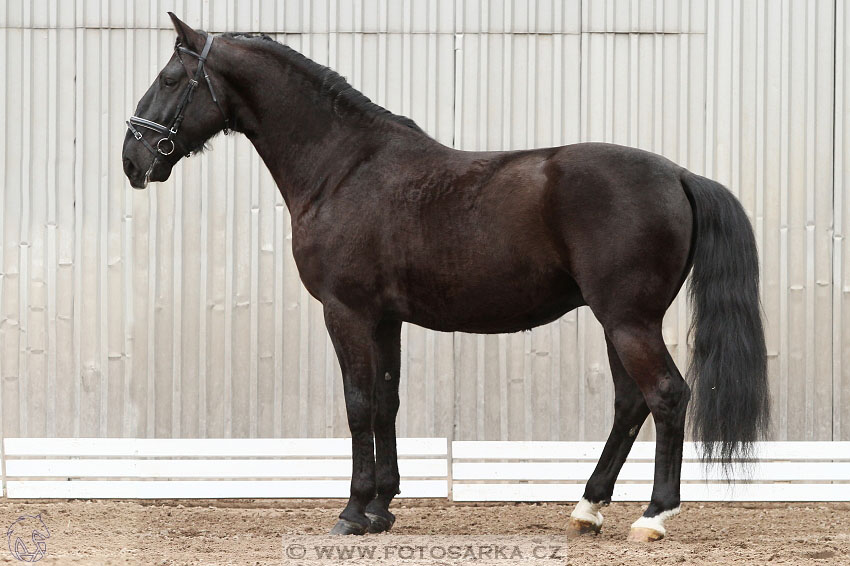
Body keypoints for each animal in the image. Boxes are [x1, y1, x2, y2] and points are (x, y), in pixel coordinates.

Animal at [121, 15, 768, 544]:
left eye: (172, 78)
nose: (132, 159)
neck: (344, 167)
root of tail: (678, 174)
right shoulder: (384, 319)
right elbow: (386, 402)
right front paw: (382, 508)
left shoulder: (346, 312)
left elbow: (358, 403)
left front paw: (353, 512)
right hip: (620, 322)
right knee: (631, 404)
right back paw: (587, 509)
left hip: (629, 320)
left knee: (667, 396)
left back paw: (653, 516)